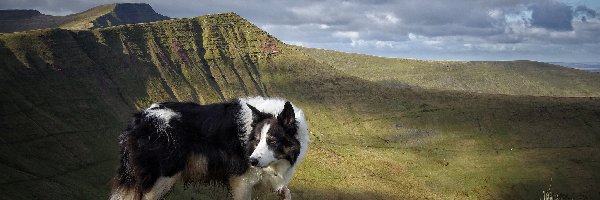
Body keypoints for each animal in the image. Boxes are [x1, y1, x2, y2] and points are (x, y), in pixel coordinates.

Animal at [109, 96, 310, 199]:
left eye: (272, 141)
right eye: (257, 139)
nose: (251, 160)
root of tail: (139, 119)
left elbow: (286, 192)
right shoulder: (242, 181)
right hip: (162, 178)